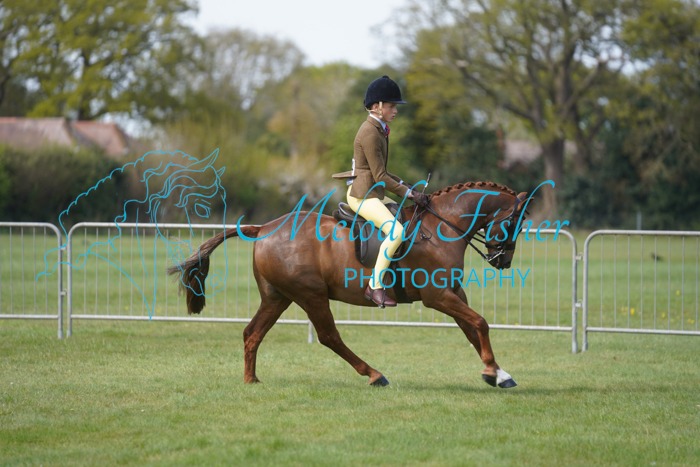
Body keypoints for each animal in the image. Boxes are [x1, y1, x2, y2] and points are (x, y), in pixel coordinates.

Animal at [168, 181, 529, 388]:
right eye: (514, 221)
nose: (502, 260)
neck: (442, 227)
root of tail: (264, 228)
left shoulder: (454, 292)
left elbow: (471, 328)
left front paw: (497, 372)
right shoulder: (437, 296)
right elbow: (480, 323)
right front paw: (493, 372)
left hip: (278, 297)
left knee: (252, 333)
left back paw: (250, 380)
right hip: (311, 295)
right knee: (329, 336)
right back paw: (374, 374)